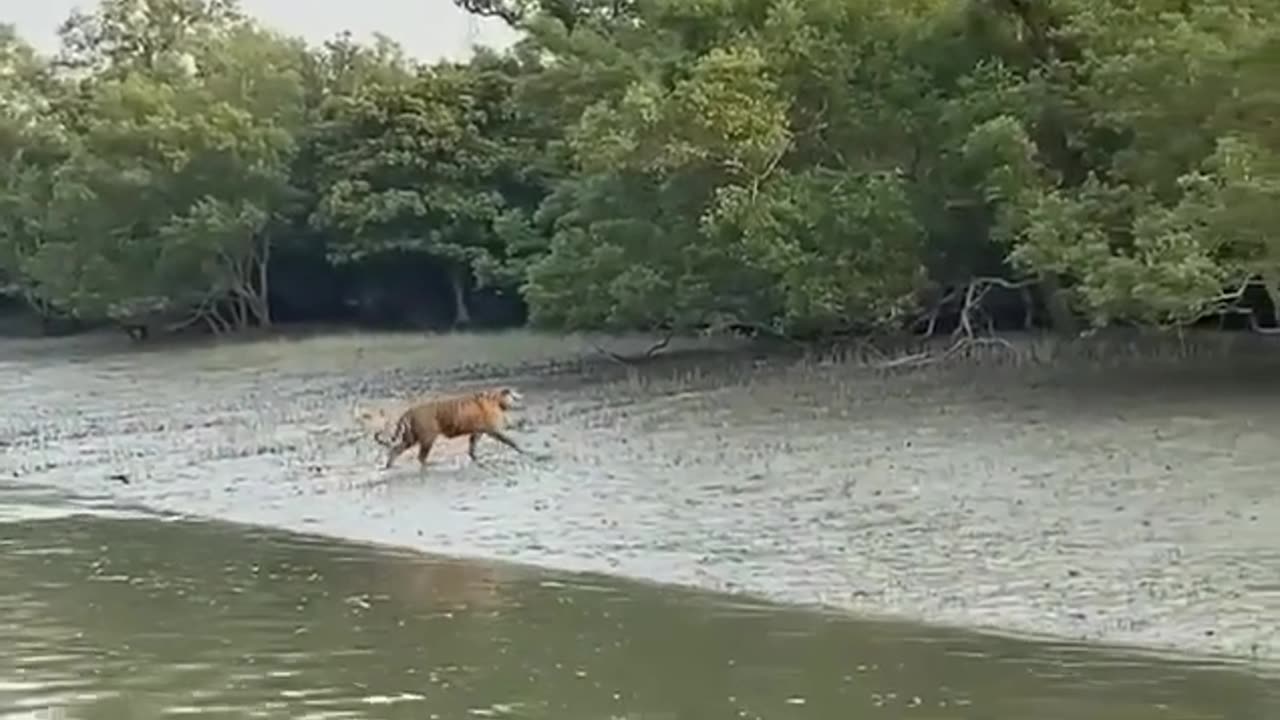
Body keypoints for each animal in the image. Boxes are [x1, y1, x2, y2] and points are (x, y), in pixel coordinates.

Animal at [368, 384, 527, 468]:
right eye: (514, 394)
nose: (521, 396)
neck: (496, 399)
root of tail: (409, 411)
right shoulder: (493, 430)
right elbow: (511, 442)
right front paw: (524, 451)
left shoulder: (477, 432)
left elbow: (472, 448)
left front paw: (475, 459)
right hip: (427, 438)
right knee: (421, 456)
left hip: (411, 438)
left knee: (395, 450)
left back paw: (389, 466)